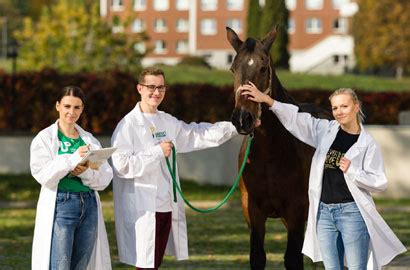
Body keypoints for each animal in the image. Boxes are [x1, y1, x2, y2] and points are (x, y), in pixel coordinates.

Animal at [226, 25, 328, 270]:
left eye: (263, 68)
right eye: (233, 69)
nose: (242, 118)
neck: (271, 153)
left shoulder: (296, 209)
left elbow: (293, 259)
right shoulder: (253, 210)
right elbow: (257, 256)